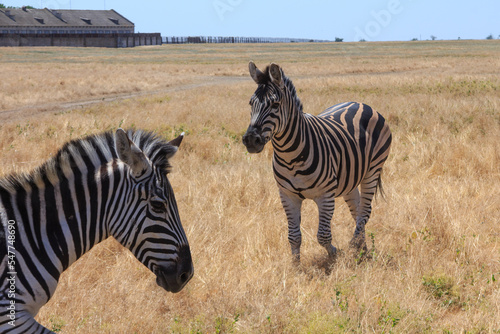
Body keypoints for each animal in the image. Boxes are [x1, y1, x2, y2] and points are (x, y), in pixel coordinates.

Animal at [242, 62, 390, 260]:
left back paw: (354, 245)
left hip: (373, 170)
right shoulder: (287, 195)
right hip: (349, 179)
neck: (290, 156)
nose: (251, 139)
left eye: (275, 104)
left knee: (365, 212)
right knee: (357, 210)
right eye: (251, 103)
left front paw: (335, 254)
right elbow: (293, 236)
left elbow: (323, 235)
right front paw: (295, 265)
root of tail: (361, 103)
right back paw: (363, 248)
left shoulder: (325, 195)